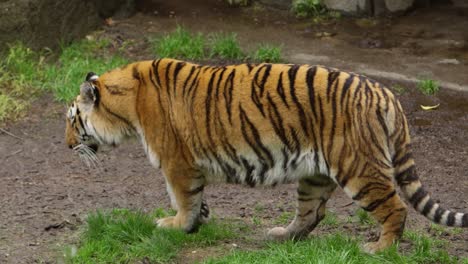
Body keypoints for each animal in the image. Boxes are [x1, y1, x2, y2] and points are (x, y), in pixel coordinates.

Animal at [64, 58, 466, 254]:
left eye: (72, 119)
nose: (67, 146)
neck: (125, 104)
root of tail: (387, 94)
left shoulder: (175, 162)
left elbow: (181, 198)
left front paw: (176, 225)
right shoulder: (188, 166)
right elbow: (195, 198)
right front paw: (198, 221)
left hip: (359, 167)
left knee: (394, 208)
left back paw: (379, 248)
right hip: (315, 174)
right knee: (312, 212)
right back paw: (281, 235)